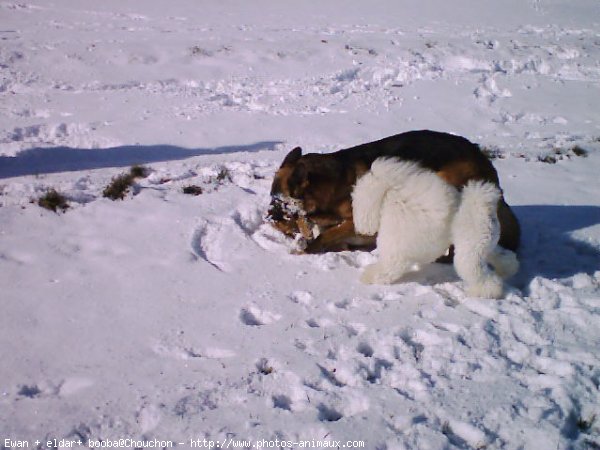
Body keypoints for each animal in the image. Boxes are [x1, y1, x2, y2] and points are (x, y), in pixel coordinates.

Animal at [352, 156, 520, 298]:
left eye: (357, 201)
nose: (359, 227)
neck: (392, 197)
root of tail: (484, 209)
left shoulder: (395, 251)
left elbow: (387, 268)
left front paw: (368, 277)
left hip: (469, 253)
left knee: (482, 276)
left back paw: (485, 293)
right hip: (485, 245)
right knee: (503, 256)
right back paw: (507, 270)